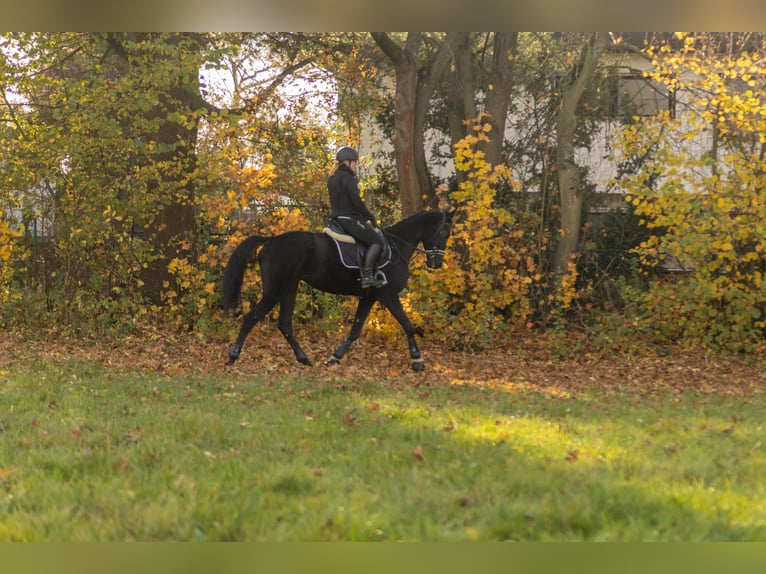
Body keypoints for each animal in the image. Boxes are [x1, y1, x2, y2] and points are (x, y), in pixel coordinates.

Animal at [225, 210, 460, 374]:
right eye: (445, 232)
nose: (436, 263)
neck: (396, 247)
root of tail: (271, 241)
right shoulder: (388, 295)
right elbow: (408, 325)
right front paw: (417, 360)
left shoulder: (370, 297)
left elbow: (355, 330)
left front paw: (335, 357)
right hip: (275, 291)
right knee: (251, 318)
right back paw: (233, 356)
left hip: (289, 288)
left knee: (284, 324)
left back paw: (304, 359)